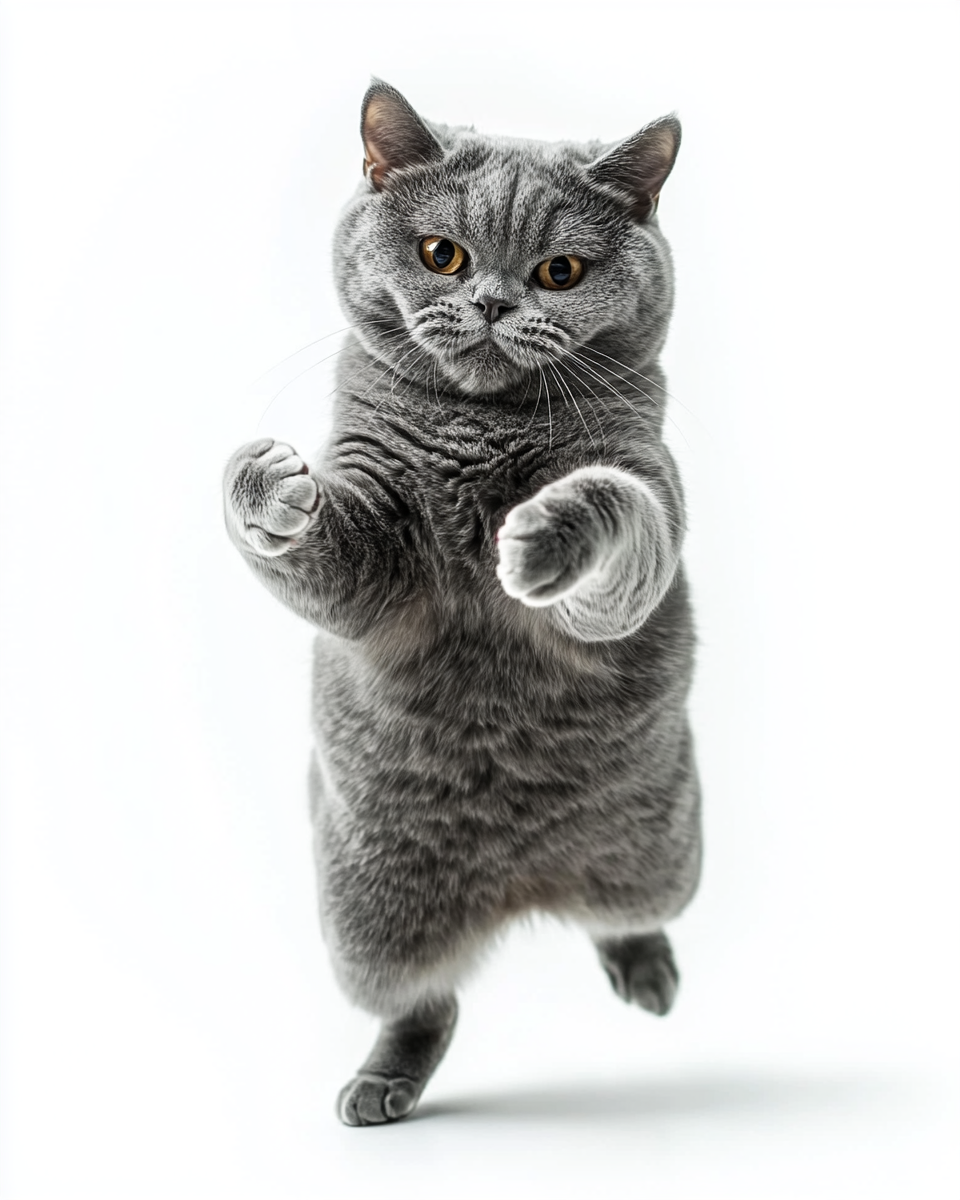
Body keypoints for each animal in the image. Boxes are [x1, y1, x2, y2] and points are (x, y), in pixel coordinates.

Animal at [222, 82, 700, 1123]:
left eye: (561, 271)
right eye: (443, 254)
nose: (490, 301)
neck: (478, 436)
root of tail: (524, 889)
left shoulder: (645, 494)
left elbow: (615, 513)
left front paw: (542, 533)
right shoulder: (371, 553)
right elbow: (326, 555)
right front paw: (265, 485)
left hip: (663, 857)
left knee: (626, 918)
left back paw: (647, 973)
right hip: (364, 919)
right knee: (425, 1003)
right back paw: (382, 1085)